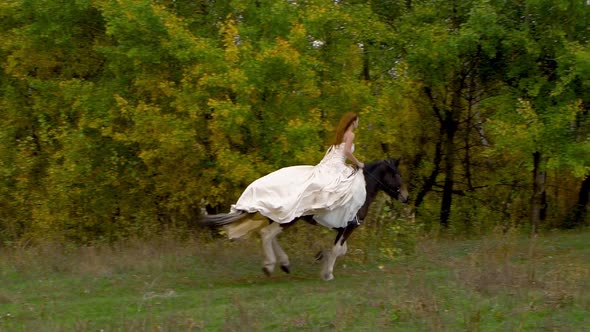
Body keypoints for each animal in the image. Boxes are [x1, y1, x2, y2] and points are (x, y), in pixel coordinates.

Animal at [201, 158, 410, 280]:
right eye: (397, 174)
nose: (406, 197)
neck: (361, 190)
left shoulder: (343, 228)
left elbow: (341, 249)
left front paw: (322, 257)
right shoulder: (349, 227)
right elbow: (337, 250)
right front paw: (327, 273)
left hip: (279, 218)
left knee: (269, 236)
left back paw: (284, 264)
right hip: (287, 219)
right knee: (267, 234)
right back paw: (269, 266)